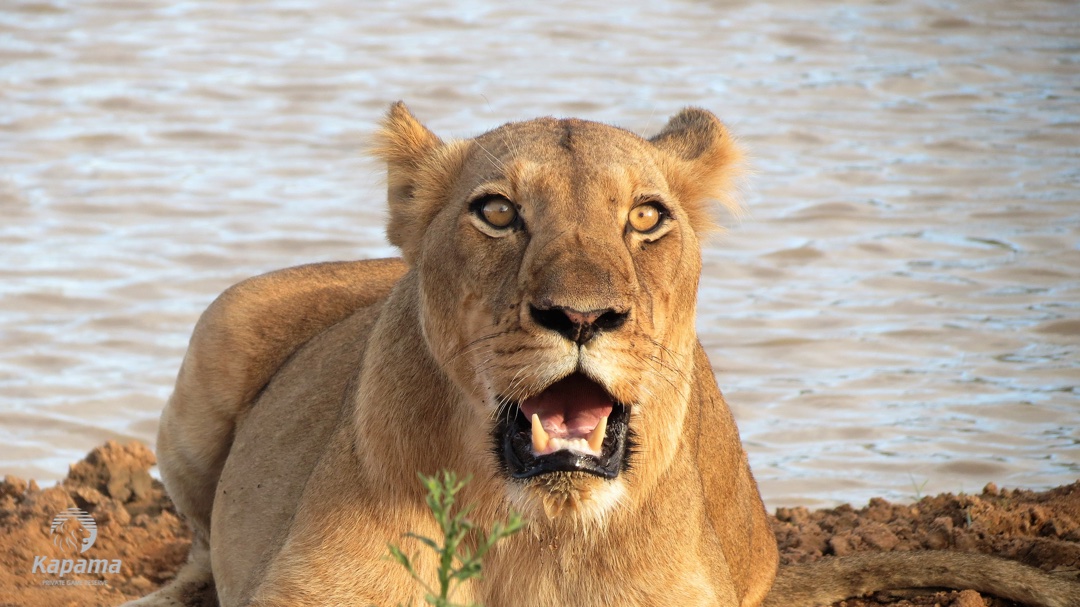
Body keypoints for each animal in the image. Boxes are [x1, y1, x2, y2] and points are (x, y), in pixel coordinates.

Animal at [127, 104, 1079, 607]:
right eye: (498, 211)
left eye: (647, 216)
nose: (581, 315)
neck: (529, 531)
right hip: (220, 328)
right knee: (202, 543)